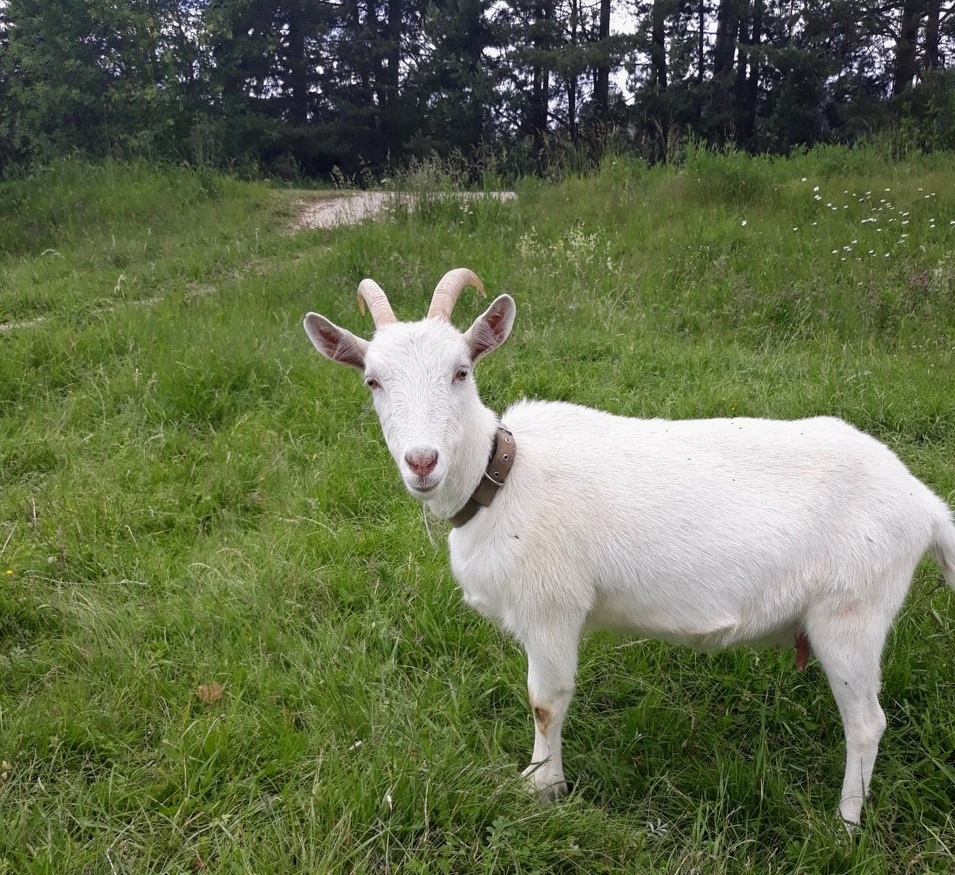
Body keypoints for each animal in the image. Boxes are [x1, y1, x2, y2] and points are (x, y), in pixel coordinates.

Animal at [304, 268, 955, 828]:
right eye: (372, 380)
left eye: (461, 370)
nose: (422, 462)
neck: (503, 476)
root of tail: (923, 503)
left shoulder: (552, 608)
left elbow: (546, 700)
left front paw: (541, 787)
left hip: (853, 611)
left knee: (867, 723)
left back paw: (846, 823)